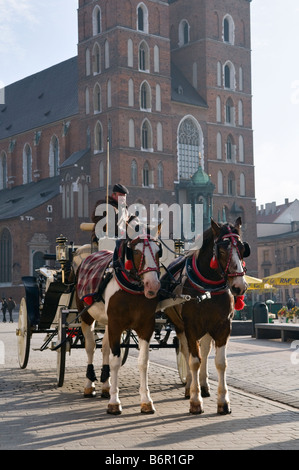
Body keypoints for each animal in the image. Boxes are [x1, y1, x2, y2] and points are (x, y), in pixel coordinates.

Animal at [76, 231, 163, 414]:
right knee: (90, 347)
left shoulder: (146, 326)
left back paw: (105, 385)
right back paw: (89, 385)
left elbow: (143, 362)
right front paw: (114, 402)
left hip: (107, 323)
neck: (132, 290)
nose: (153, 285)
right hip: (86, 316)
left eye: (159, 252)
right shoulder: (116, 325)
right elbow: (115, 362)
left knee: (104, 349)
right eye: (136, 252)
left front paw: (146, 401)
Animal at [164, 217, 251, 414]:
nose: (239, 286)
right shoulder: (190, 326)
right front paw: (195, 401)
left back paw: (203, 385)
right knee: (187, 352)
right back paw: (190, 387)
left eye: (243, 249)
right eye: (221, 250)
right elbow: (194, 361)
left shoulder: (223, 325)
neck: (208, 289)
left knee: (204, 350)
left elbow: (220, 362)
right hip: (180, 326)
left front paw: (223, 402)